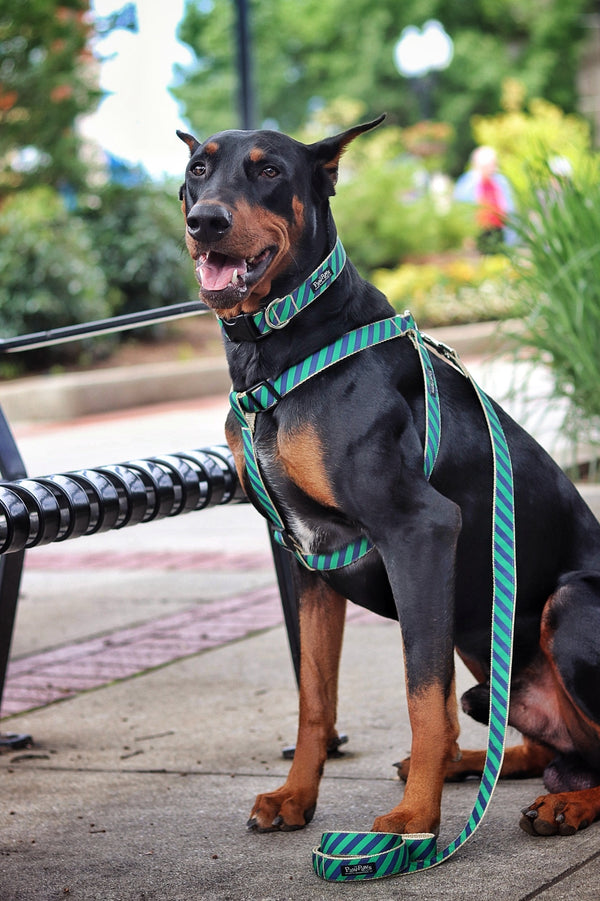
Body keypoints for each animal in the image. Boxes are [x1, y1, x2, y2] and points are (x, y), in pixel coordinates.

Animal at [178, 116, 600, 840]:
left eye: (269, 171)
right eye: (197, 169)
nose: (205, 220)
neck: (276, 347)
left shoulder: (419, 531)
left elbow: (421, 697)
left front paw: (413, 820)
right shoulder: (307, 559)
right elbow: (314, 698)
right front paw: (295, 796)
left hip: (562, 605)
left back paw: (564, 802)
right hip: (480, 629)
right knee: (540, 744)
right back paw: (477, 765)